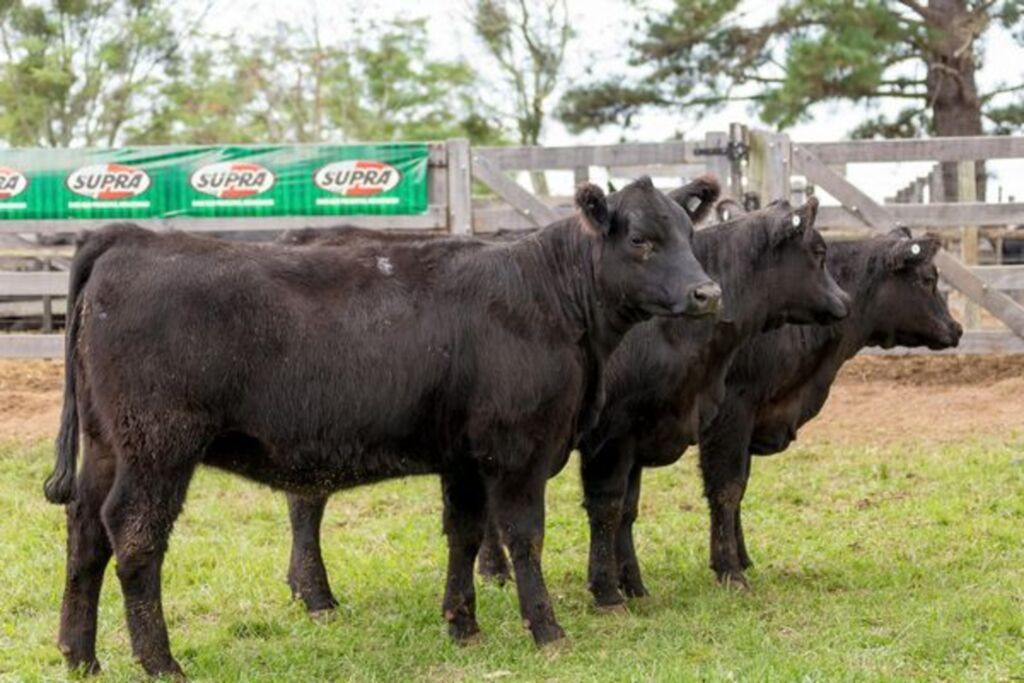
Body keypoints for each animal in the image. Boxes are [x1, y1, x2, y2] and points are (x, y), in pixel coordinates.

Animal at [46, 178, 720, 679]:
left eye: (690, 234)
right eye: (641, 238)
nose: (707, 293)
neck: (548, 298)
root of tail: (126, 238)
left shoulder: (464, 458)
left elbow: (464, 536)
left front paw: (463, 625)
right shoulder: (518, 451)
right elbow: (525, 537)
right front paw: (547, 629)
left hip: (107, 445)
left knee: (85, 530)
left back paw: (81, 656)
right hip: (158, 445)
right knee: (134, 537)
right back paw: (160, 662)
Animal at [696, 227, 958, 589]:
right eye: (928, 279)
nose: (957, 329)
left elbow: (740, 485)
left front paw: (742, 558)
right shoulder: (731, 413)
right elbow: (726, 488)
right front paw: (730, 570)